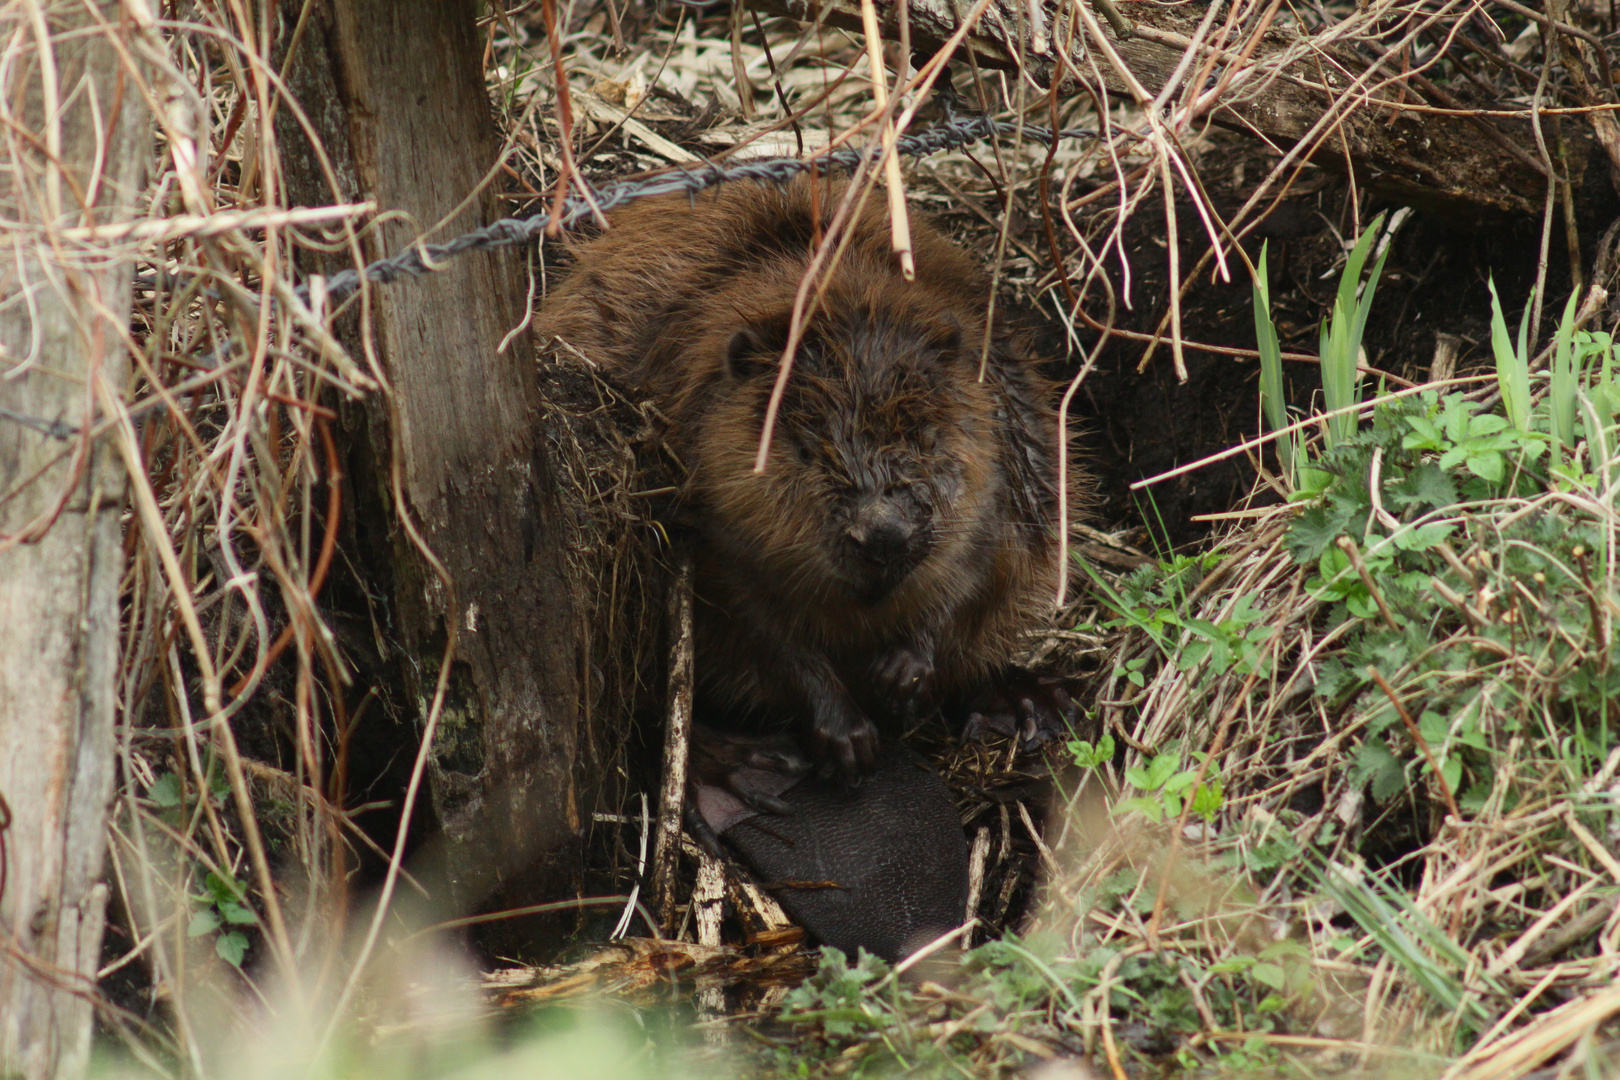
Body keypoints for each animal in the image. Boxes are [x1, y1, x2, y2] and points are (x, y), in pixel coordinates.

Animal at [537, 179, 1082, 786]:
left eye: (925, 436)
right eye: (801, 445)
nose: (883, 537)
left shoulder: (1008, 449)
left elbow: (978, 570)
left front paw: (903, 671)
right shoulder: (701, 510)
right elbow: (750, 616)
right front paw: (846, 736)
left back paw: (1031, 705)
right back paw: (751, 763)